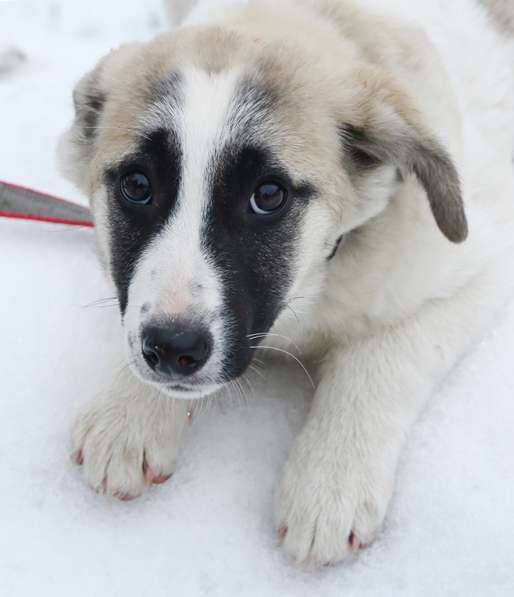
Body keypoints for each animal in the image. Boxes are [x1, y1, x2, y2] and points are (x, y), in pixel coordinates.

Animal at [60, 0, 512, 564]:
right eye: (137, 185)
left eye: (268, 195)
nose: (171, 348)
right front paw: (131, 412)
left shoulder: (480, 269)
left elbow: (379, 359)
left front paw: (331, 480)